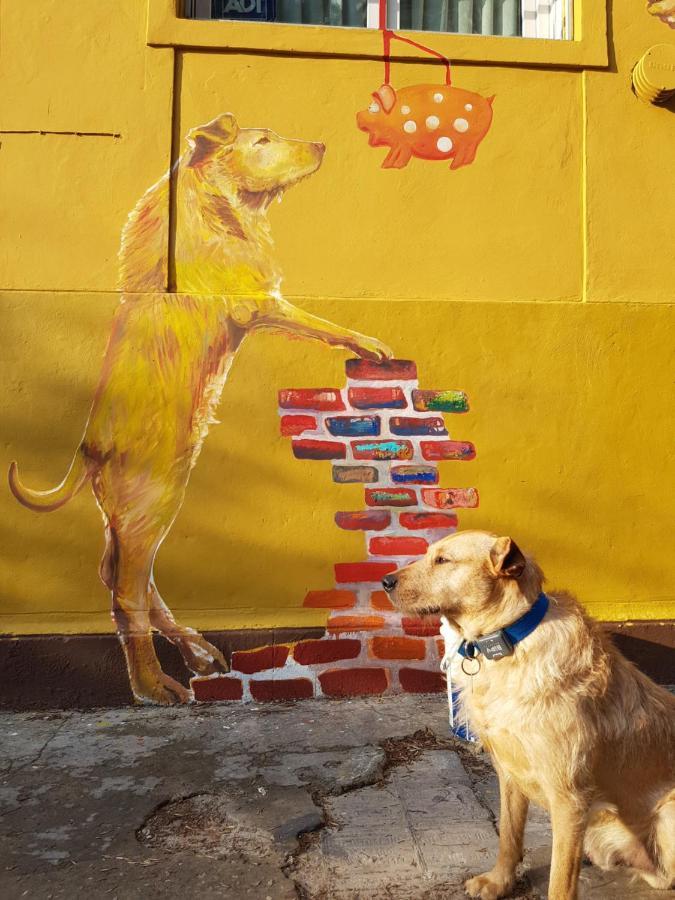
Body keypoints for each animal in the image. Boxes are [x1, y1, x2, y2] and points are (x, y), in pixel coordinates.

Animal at [9, 110, 390, 704]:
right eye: (262, 141)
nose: (324, 144)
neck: (222, 205)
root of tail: (89, 447)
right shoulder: (258, 303)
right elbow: (321, 322)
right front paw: (370, 344)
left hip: (132, 508)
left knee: (119, 574)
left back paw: (200, 653)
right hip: (156, 496)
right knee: (125, 590)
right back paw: (156, 688)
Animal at [356, 83, 494, 171]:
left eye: (372, 108)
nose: (357, 115)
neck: (395, 115)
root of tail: (487, 101)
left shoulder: (404, 143)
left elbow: (400, 155)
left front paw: (391, 166)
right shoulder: (399, 143)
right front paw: (387, 166)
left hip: (469, 141)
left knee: (465, 154)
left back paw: (454, 167)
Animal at [382, 532, 672, 896]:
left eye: (443, 560)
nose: (385, 582)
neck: (510, 643)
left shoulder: (569, 797)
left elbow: (560, 882)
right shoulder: (508, 772)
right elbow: (509, 835)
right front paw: (499, 881)